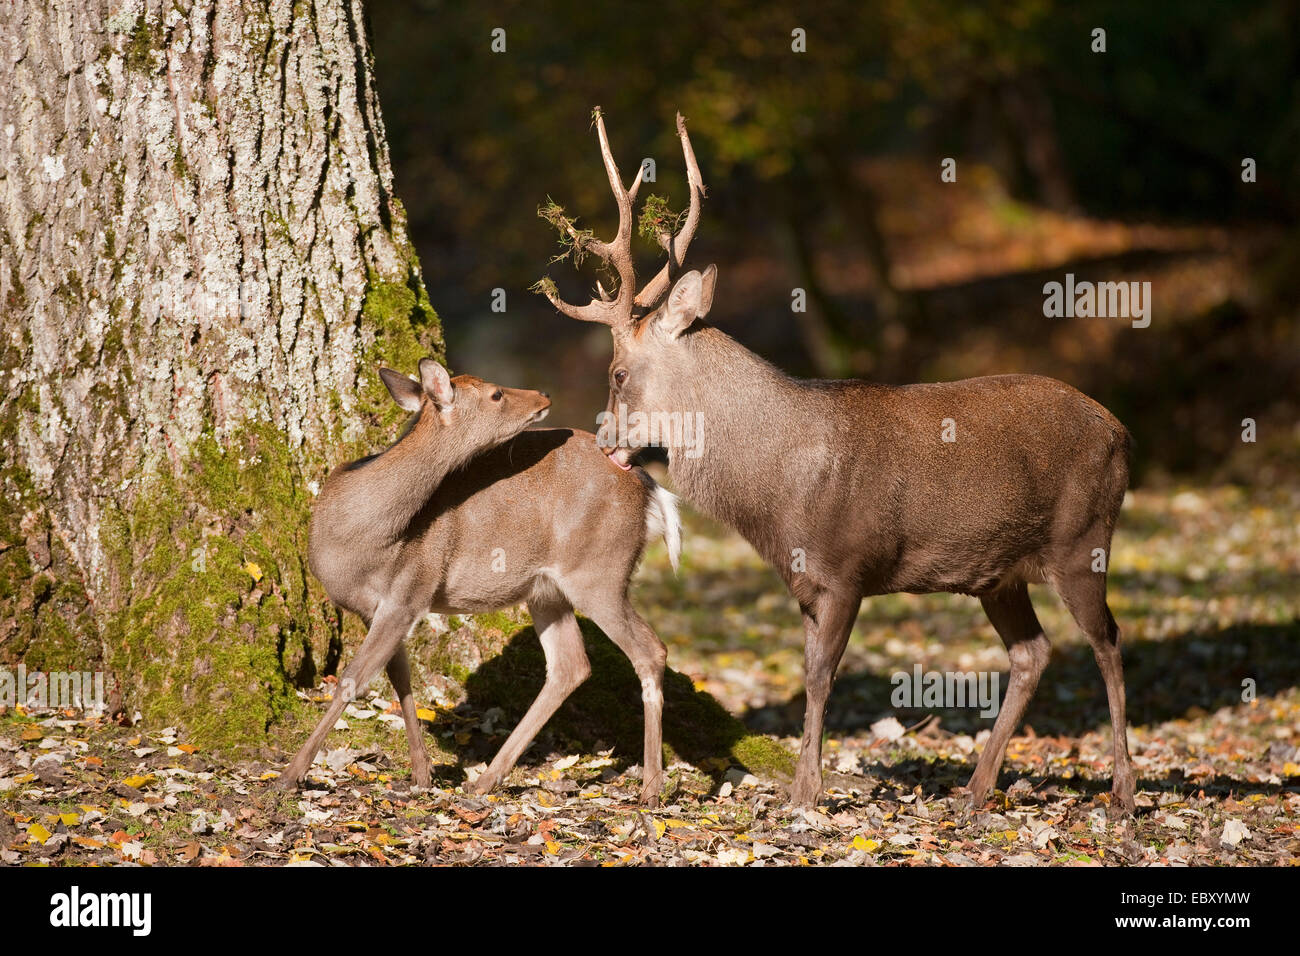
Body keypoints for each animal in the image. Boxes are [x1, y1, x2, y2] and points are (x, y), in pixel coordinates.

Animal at [274, 358, 681, 806]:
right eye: (496, 394)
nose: (543, 395)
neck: (358, 536)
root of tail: (649, 485)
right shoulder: (374, 607)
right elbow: (399, 679)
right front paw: (422, 774)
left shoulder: (411, 589)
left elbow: (353, 680)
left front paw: (291, 774)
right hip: (548, 589)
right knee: (570, 664)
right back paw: (486, 778)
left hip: (599, 570)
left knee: (650, 650)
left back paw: (651, 788)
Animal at [533, 111, 1133, 816]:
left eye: (618, 373)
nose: (602, 444)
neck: (780, 492)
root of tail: (1122, 432)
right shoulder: (804, 583)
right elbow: (807, 669)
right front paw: (807, 782)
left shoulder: (848, 567)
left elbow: (821, 678)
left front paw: (805, 792)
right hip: (1000, 573)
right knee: (1032, 653)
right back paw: (975, 790)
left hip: (1083, 538)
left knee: (1107, 641)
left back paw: (1123, 790)